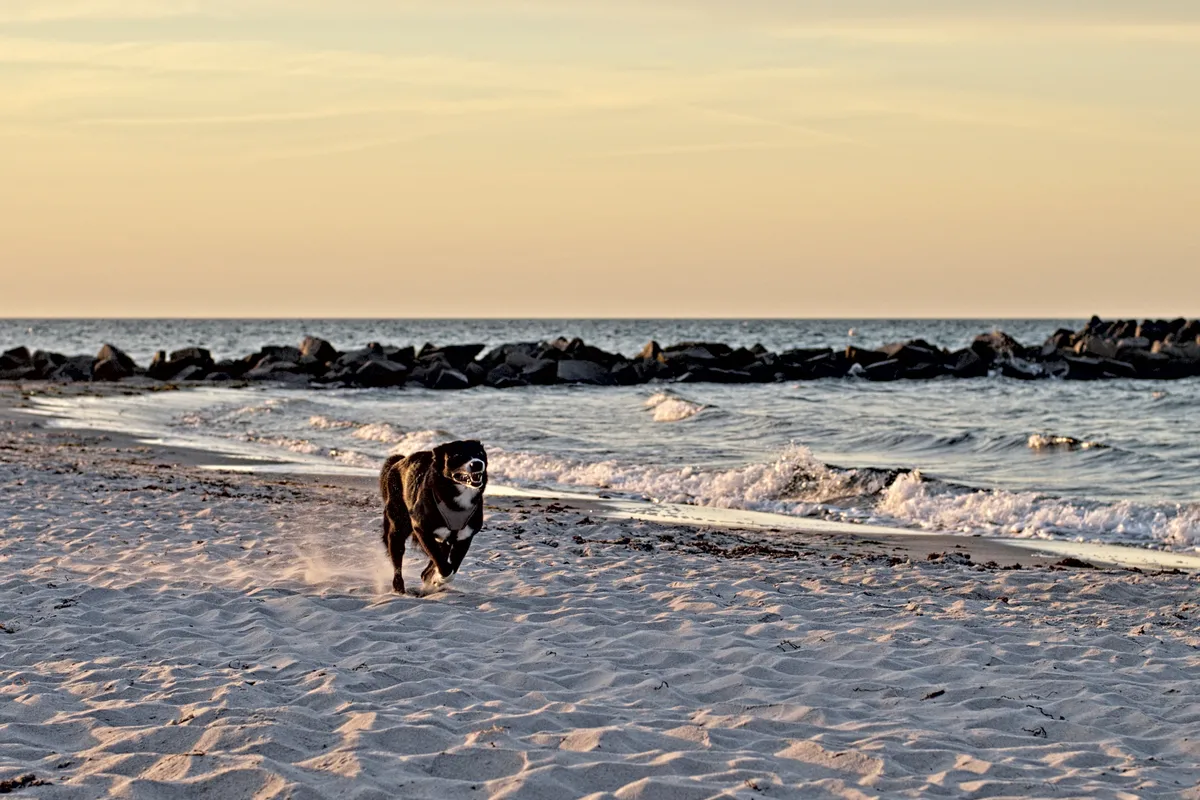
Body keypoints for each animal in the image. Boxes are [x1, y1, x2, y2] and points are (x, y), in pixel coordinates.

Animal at [376, 438, 484, 594]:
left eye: (480, 453)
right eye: (458, 455)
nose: (477, 463)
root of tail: (398, 462)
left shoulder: (465, 537)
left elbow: (452, 566)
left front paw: (436, 580)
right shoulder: (422, 530)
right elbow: (444, 566)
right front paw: (439, 579)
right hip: (398, 526)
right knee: (397, 557)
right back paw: (399, 587)